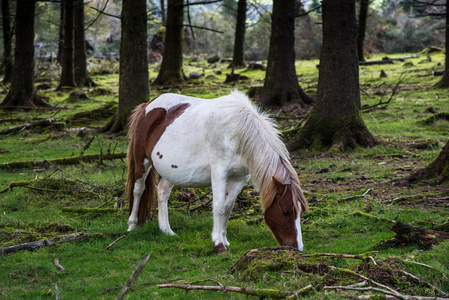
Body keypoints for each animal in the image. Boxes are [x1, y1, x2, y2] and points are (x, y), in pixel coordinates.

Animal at [126, 89, 308, 253]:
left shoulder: (239, 177)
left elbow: (228, 207)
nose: (297, 248)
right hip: (142, 162)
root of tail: (147, 105)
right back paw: (132, 225)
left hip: (171, 170)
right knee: (138, 190)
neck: (238, 133)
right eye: (286, 212)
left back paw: (166, 230)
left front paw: (224, 240)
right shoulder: (219, 173)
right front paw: (218, 244)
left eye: (300, 212)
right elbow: (219, 206)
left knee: (162, 192)